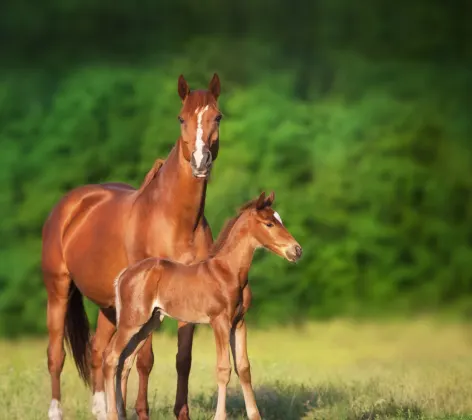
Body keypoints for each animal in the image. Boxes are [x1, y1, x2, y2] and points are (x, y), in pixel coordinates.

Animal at [41, 73, 222, 420]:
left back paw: (102, 410)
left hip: (109, 307)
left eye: (217, 116)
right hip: (58, 291)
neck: (174, 220)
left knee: (99, 352)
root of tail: (71, 204)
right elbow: (144, 360)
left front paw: (182, 413)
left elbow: (183, 360)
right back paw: (55, 411)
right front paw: (141, 412)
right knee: (56, 355)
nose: (200, 161)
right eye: (181, 118)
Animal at [104, 193, 302, 420]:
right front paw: (220, 416)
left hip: (149, 323)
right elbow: (224, 369)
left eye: (280, 220)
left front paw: (255, 416)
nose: (297, 250)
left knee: (125, 361)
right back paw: (111, 414)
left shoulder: (239, 322)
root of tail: (123, 275)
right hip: (132, 321)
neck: (228, 272)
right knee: (111, 357)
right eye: (269, 223)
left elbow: (243, 368)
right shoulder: (219, 322)